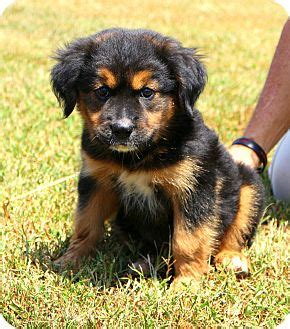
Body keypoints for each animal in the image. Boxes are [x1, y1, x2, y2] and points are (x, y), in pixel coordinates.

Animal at [50, 28, 266, 284]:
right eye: (102, 91)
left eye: (147, 92)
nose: (121, 129)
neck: (139, 155)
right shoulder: (95, 180)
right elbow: (86, 225)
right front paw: (70, 262)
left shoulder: (193, 188)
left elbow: (188, 240)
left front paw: (187, 283)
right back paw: (143, 264)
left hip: (248, 184)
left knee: (234, 232)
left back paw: (233, 259)